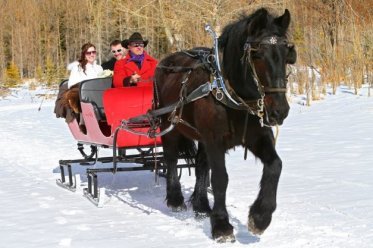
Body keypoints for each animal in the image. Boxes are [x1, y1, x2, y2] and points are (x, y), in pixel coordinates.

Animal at [153, 8, 294, 242]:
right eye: (257, 54)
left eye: (286, 54)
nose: (280, 111)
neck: (230, 93)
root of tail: (166, 61)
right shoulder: (214, 141)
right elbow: (220, 178)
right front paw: (221, 225)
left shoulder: (256, 137)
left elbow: (276, 165)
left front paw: (260, 217)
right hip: (169, 125)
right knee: (171, 158)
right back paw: (175, 199)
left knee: (201, 164)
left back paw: (201, 205)